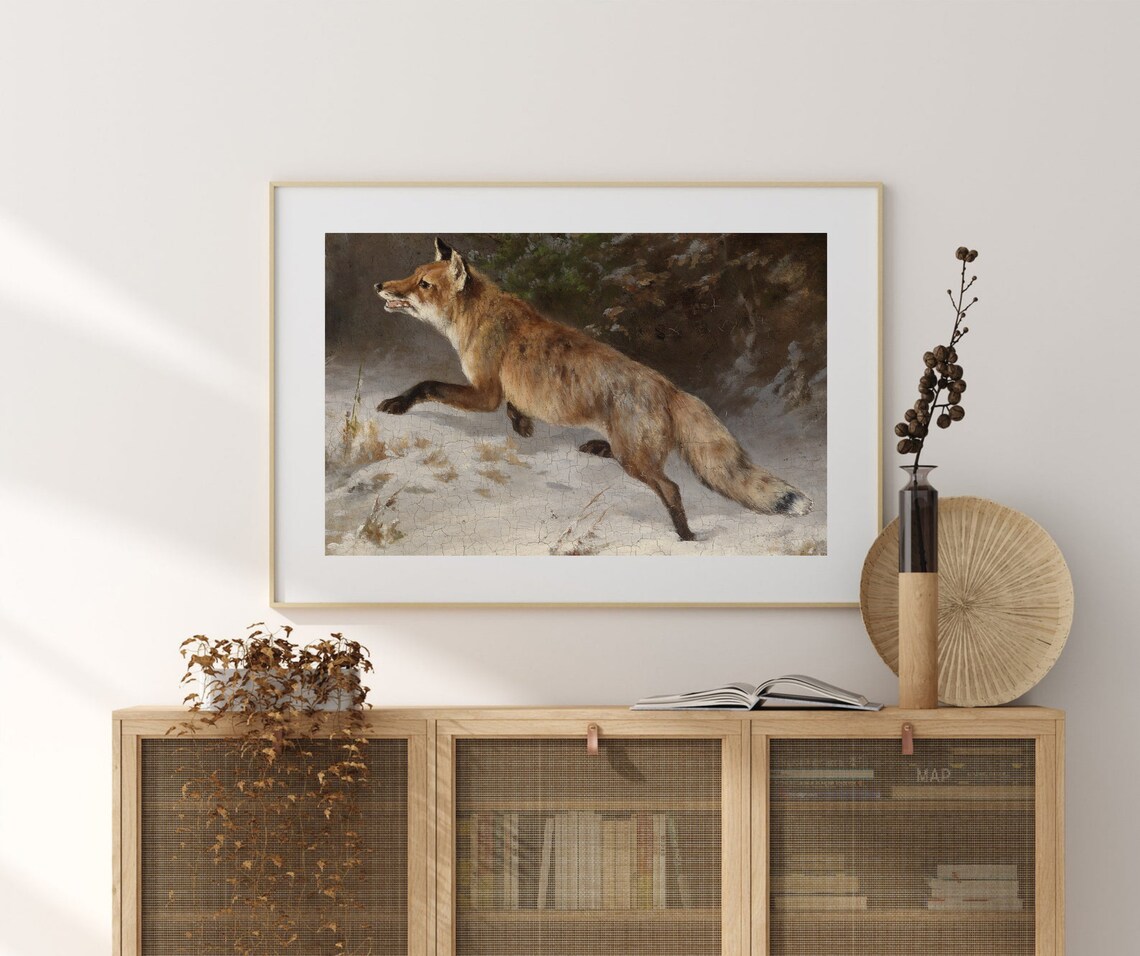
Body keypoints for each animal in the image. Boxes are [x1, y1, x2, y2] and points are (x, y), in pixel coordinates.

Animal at [373, 238, 812, 541]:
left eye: (423, 284)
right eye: (412, 274)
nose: (379, 284)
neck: (477, 319)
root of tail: (670, 387)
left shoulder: (484, 393)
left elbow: (427, 384)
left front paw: (397, 402)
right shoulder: (501, 392)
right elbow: (514, 408)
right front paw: (523, 426)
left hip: (637, 460)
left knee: (670, 486)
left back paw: (685, 535)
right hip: (634, 452)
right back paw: (598, 447)